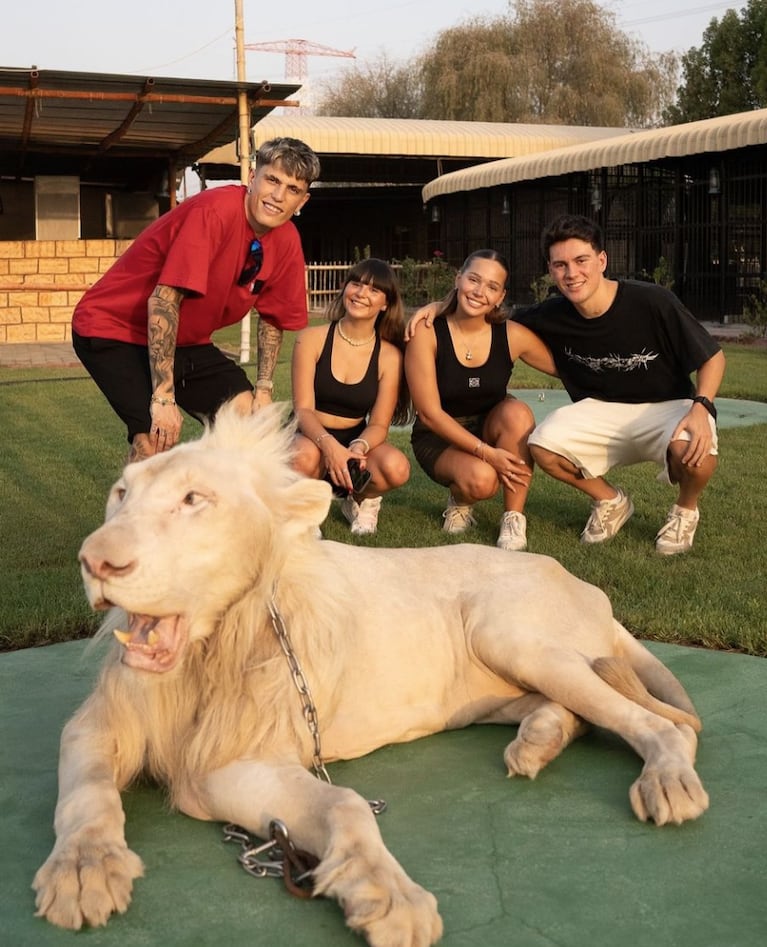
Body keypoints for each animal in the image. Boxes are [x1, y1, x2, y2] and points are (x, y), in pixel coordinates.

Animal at [34, 404, 708, 944]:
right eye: (120, 494)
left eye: (194, 500)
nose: (96, 561)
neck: (214, 648)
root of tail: (590, 587)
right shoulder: (101, 727)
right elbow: (87, 793)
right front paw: (83, 869)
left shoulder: (223, 762)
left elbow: (348, 805)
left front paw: (391, 899)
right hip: (503, 681)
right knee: (575, 713)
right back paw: (535, 745)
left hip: (510, 635)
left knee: (661, 725)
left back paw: (667, 783)